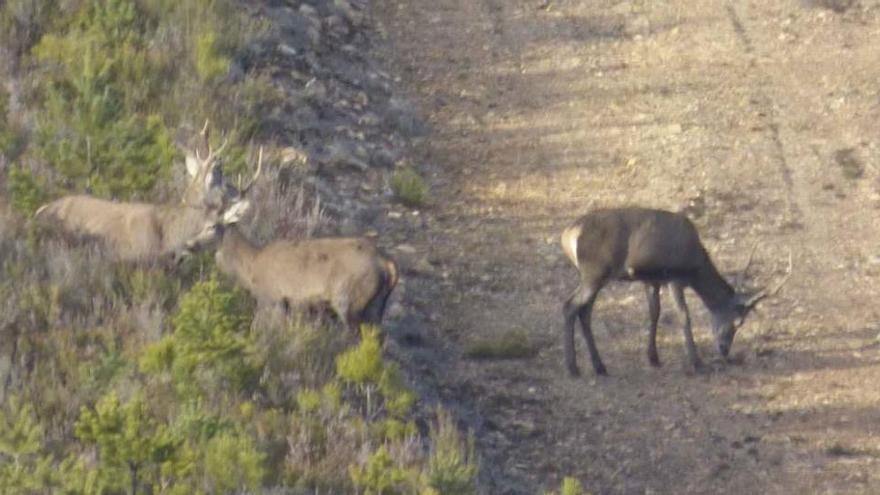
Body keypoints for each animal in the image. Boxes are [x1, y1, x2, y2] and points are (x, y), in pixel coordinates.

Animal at [181, 149, 398, 332]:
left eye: (211, 226)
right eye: (201, 223)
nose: (189, 244)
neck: (250, 267)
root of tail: (387, 265)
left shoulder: (271, 297)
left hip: (351, 302)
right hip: (375, 309)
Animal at [560, 206, 796, 376]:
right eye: (739, 322)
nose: (724, 349)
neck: (695, 264)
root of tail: (568, 235)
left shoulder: (652, 280)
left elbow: (654, 313)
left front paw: (653, 357)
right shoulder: (674, 277)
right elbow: (684, 315)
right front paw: (697, 362)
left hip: (595, 276)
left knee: (584, 311)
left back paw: (599, 366)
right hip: (594, 272)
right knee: (570, 305)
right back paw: (573, 367)